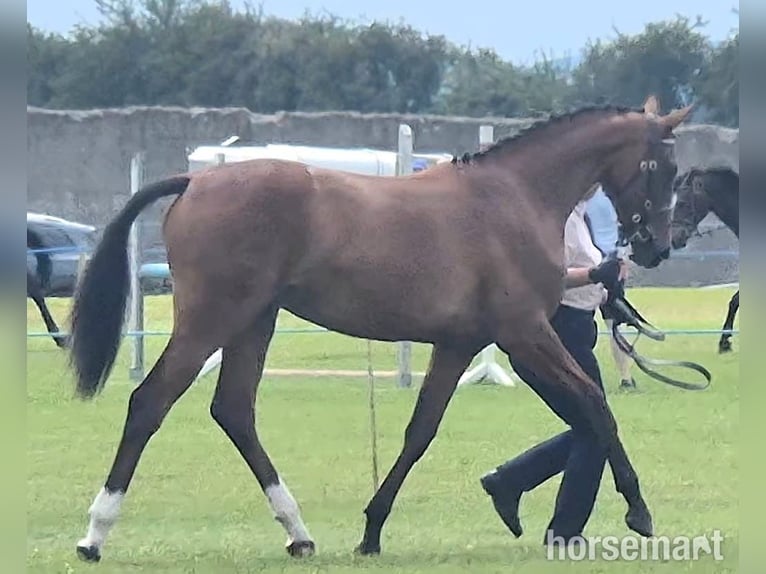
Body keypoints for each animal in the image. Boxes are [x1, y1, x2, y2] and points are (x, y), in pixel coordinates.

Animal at [67, 96, 693, 563]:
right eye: (664, 168)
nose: (658, 247)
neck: (514, 196)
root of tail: (194, 183)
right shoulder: (525, 334)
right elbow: (595, 404)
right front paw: (639, 510)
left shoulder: (458, 345)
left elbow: (420, 432)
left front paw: (371, 530)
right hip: (212, 319)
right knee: (151, 402)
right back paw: (95, 533)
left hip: (254, 322)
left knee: (234, 410)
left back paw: (298, 532)